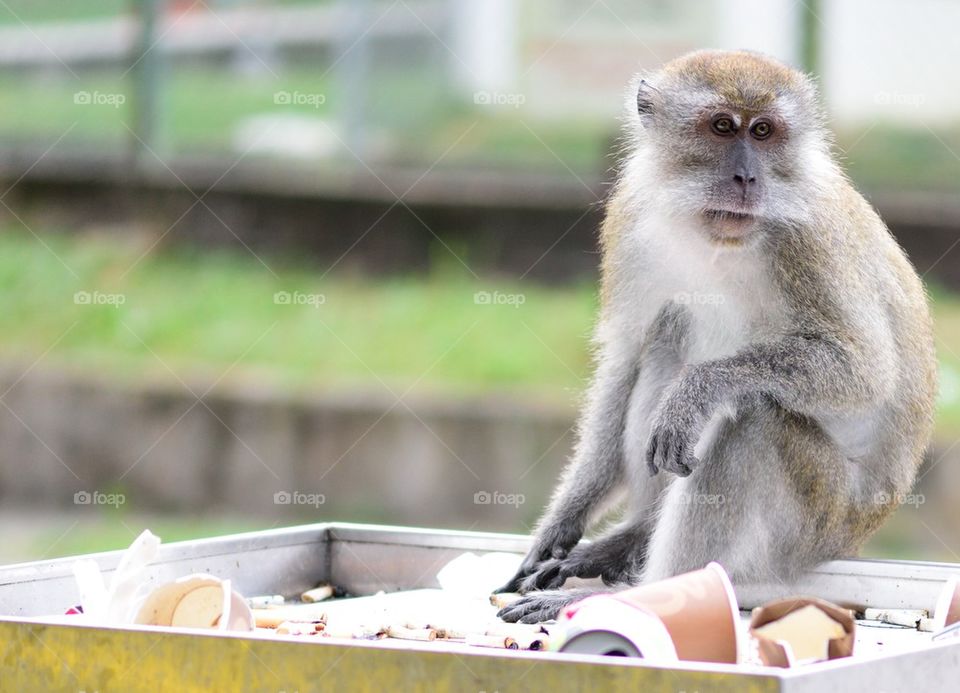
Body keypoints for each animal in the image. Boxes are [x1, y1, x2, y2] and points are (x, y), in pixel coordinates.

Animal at [496, 49, 938, 624]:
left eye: (765, 131)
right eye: (723, 127)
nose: (747, 176)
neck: (717, 235)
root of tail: (861, 530)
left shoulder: (810, 239)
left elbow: (864, 370)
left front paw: (697, 391)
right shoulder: (631, 218)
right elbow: (625, 357)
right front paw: (565, 519)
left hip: (820, 517)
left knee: (752, 420)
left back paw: (641, 590)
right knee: (665, 337)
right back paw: (632, 537)